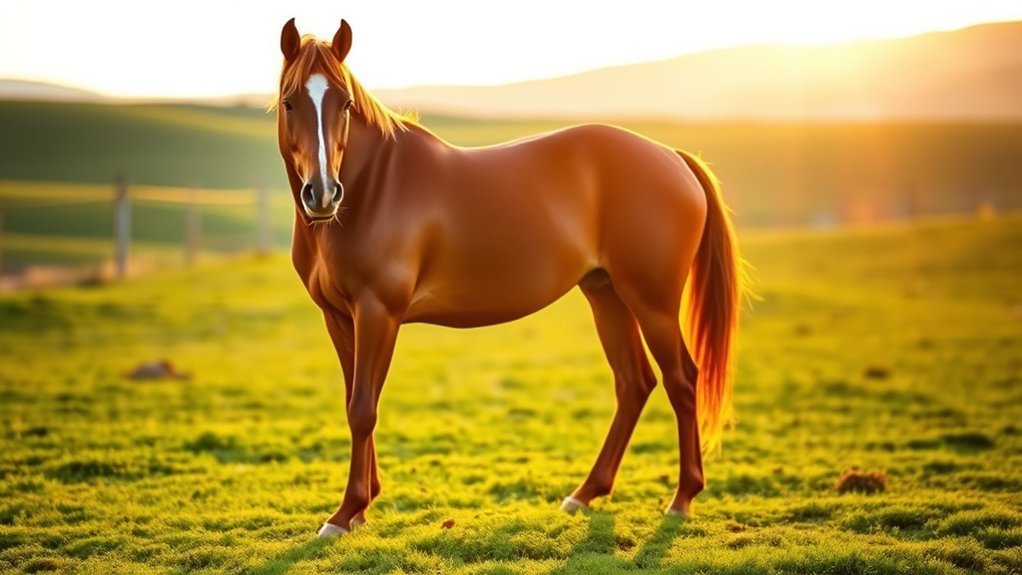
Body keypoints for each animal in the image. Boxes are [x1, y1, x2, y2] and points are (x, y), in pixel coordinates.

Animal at [275, 18, 744, 538]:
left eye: (345, 103)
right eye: (290, 101)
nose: (322, 194)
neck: (373, 188)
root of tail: (674, 157)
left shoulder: (378, 312)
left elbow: (362, 408)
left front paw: (345, 513)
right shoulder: (339, 317)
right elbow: (356, 403)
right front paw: (361, 507)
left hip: (652, 302)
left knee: (682, 380)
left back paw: (682, 499)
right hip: (606, 295)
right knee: (634, 383)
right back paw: (584, 494)